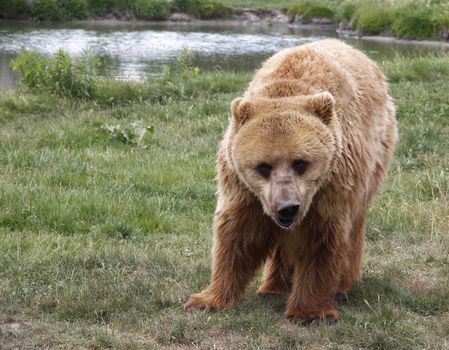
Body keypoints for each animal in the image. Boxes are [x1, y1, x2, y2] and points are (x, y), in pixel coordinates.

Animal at [184, 39, 398, 326]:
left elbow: (321, 241)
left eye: (301, 162)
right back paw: (273, 286)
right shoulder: (244, 189)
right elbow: (238, 235)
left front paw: (310, 312)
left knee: (353, 229)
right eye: (263, 166)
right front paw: (207, 300)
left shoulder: (330, 185)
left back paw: (342, 286)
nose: (288, 207)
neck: (287, 91)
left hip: (373, 163)